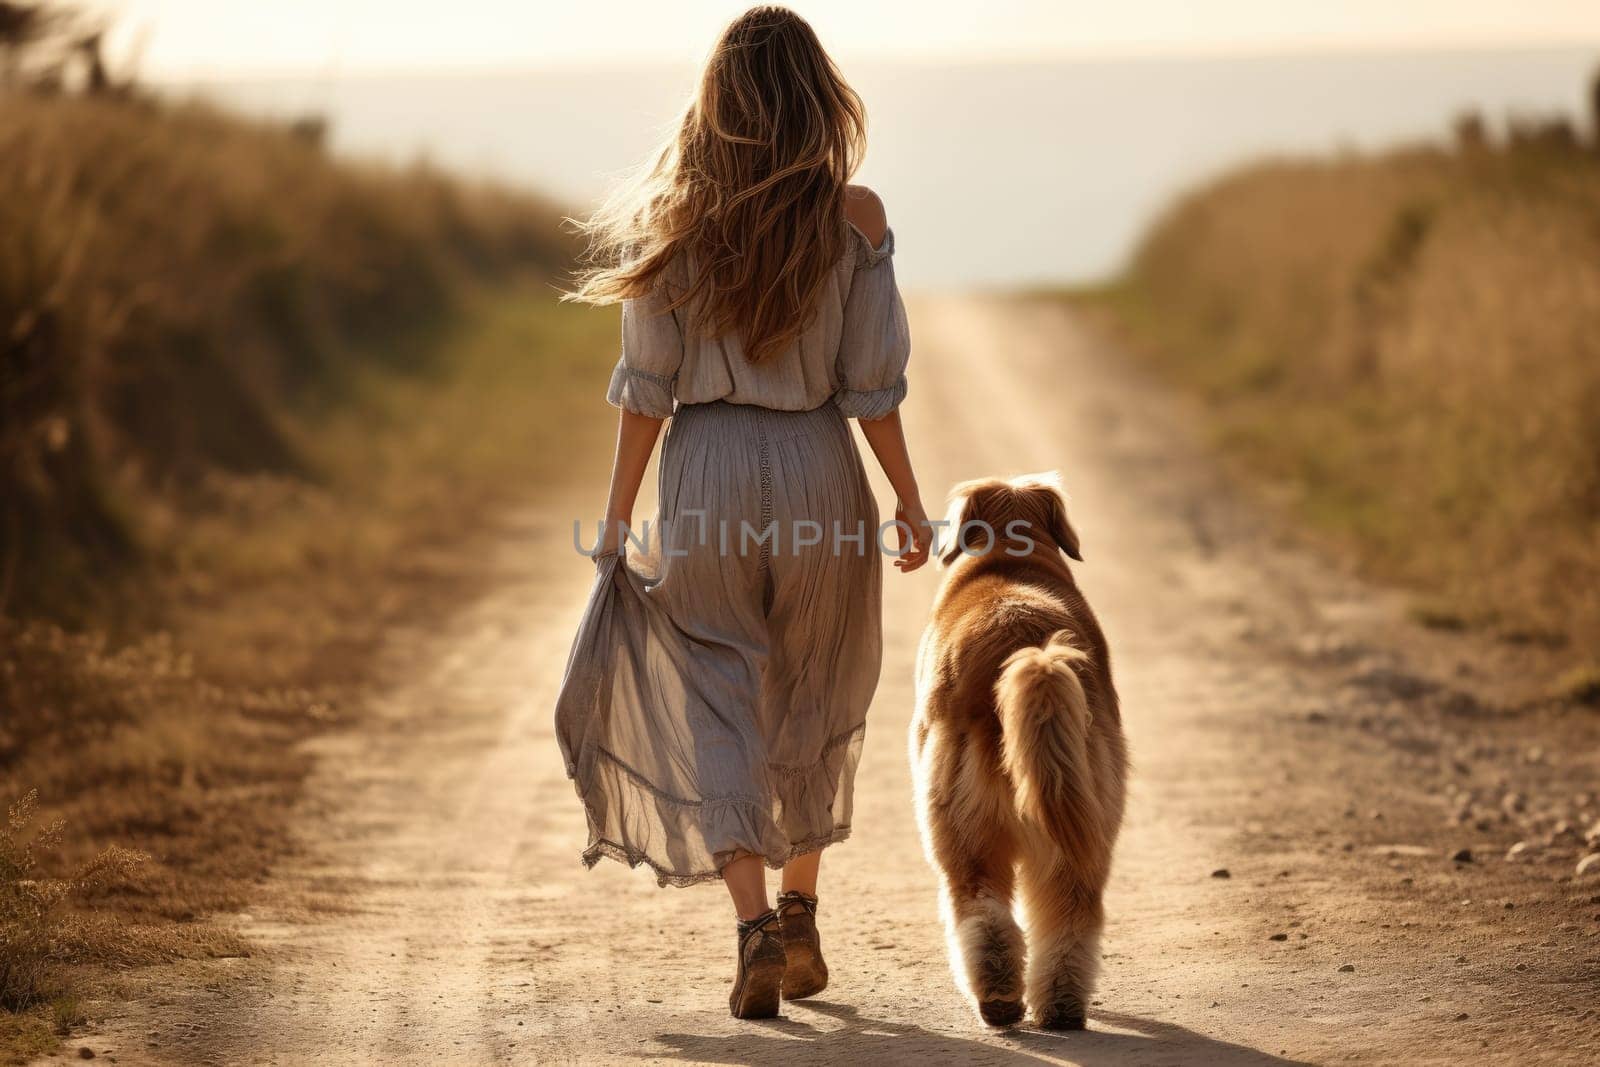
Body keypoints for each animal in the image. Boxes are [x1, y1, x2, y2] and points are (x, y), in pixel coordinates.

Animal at [915, 473, 1126, 1023]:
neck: (1009, 557)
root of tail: (1028, 647)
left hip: (959, 826)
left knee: (981, 911)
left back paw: (997, 999)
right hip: (1084, 818)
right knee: (1072, 914)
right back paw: (1062, 1006)